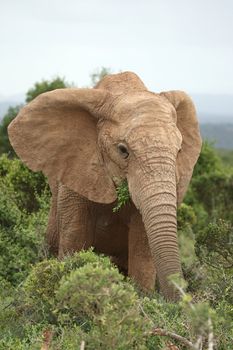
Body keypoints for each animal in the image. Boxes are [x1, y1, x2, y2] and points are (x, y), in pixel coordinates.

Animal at [7, 72, 201, 300]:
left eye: (179, 151)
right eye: (123, 150)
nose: (182, 301)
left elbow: (142, 249)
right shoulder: (76, 173)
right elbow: (74, 242)